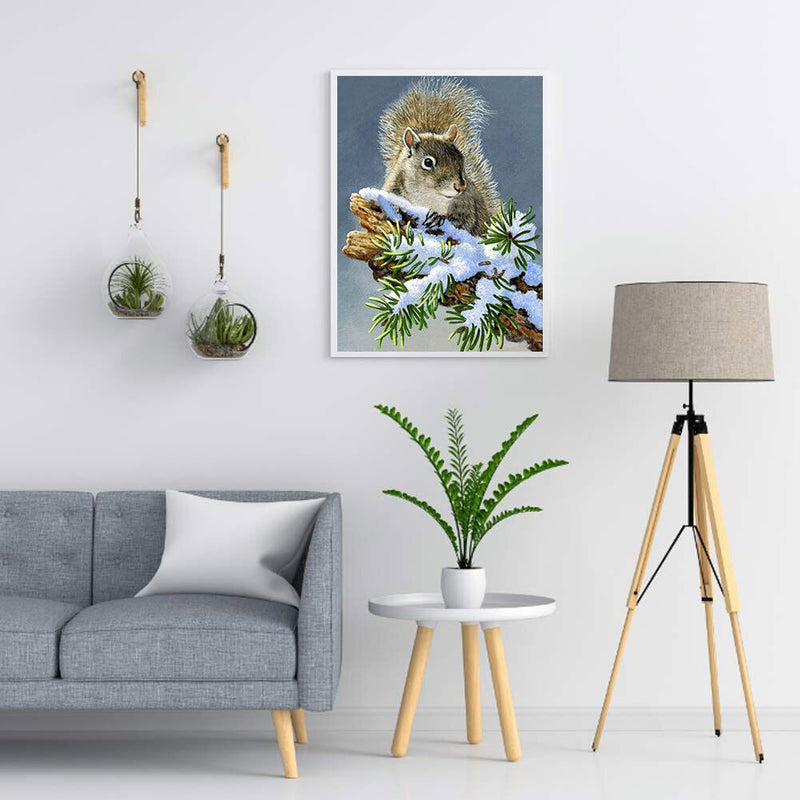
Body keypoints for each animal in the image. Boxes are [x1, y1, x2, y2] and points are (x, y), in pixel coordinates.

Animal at [379, 78, 500, 236]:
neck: (428, 197)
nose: (461, 186)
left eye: (462, 159)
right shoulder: (392, 187)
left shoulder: (468, 204)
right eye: (428, 162)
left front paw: (438, 217)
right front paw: (394, 208)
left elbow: (465, 224)